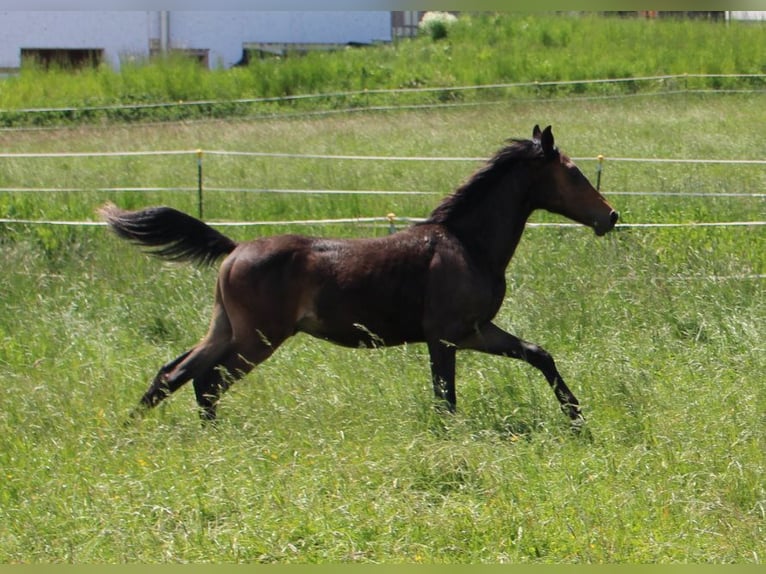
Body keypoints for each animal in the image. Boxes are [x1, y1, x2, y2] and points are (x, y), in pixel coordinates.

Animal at [101, 125, 618, 427]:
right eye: (574, 174)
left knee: (177, 372)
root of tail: (235, 249)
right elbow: (445, 397)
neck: (467, 244)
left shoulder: (475, 331)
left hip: (227, 327)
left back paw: (134, 428)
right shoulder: (445, 336)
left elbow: (538, 354)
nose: (610, 216)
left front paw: (577, 419)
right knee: (207, 378)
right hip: (258, 337)